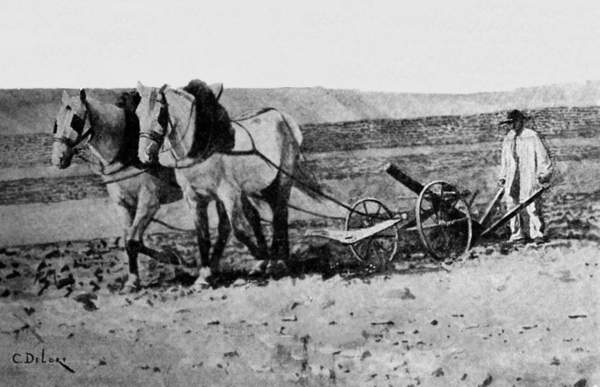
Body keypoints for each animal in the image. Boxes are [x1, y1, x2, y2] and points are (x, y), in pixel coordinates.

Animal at [51, 89, 183, 292]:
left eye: (76, 120)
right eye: (56, 123)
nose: (58, 158)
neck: (129, 152)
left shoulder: (149, 203)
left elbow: (132, 241)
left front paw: (134, 280)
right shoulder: (123, 204)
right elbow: (131, 240)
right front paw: (168, 258)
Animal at [135, 80, 324, 286]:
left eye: (159, 113)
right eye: (137, 113)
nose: (144, 155)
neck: (201, 147)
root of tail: (284, 118)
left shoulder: (228, 194)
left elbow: (238, 230)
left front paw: (262, 255)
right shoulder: (194, 198)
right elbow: (203, 235)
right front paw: (204, 275)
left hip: (282, 179)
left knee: (280, 214)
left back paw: (278, 260)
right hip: (257, 187)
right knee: (263, 216)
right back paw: (273, 260)